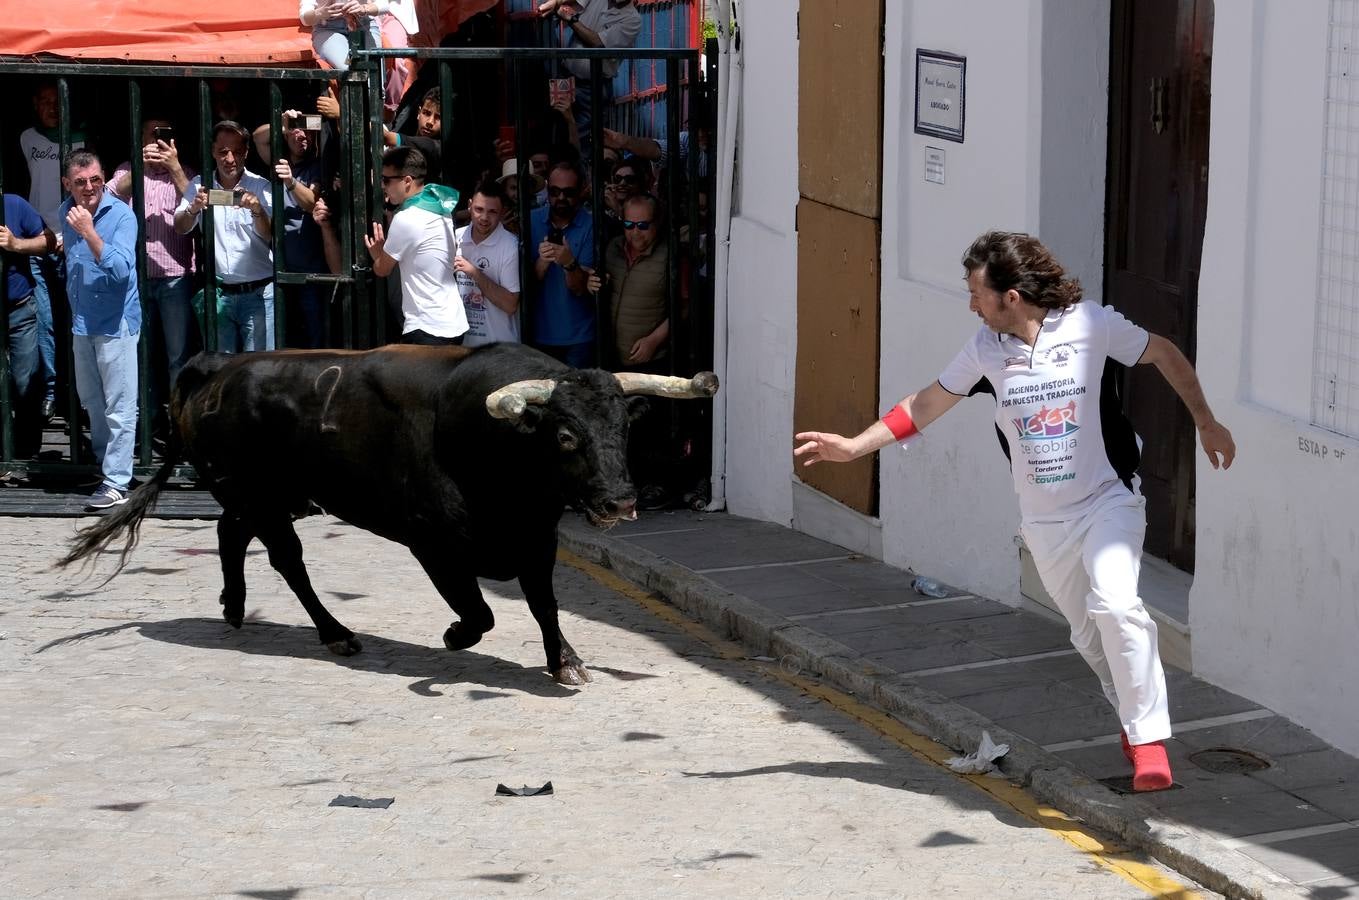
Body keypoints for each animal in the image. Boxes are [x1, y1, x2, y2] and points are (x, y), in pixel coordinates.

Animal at [61, 343, 722, 685]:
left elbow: (544, 606)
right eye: (564, 436)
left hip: (264, 495)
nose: (620, 501)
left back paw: (234, 608)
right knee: (286, 559)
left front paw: (568, 662)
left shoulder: (536, 539)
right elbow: (480, 611)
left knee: (230, 531)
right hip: (265, 499)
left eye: (623, 430)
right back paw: (334, 634)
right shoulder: (434, 543)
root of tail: (218, 368)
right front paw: (455, 637)